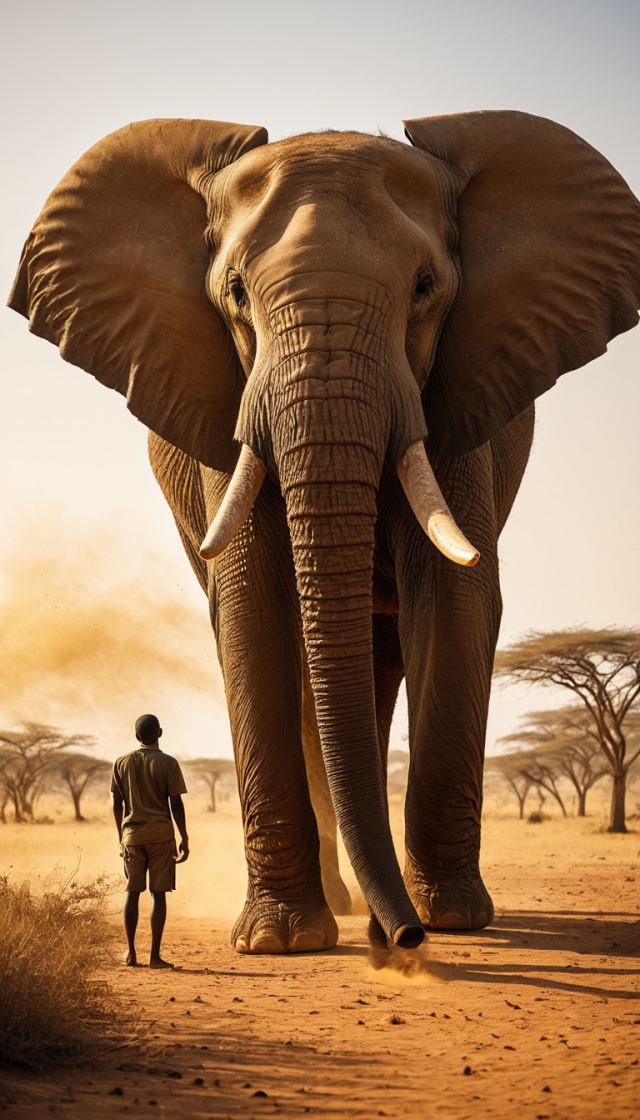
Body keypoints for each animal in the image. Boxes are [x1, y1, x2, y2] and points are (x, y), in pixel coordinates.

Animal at [9, 111, 640, 954]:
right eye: (235, 293)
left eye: (425, 288)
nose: (406, 942)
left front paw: (453, 919)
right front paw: (279, 941)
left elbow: (455, 597)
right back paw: (344, 909)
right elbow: (249, 605)